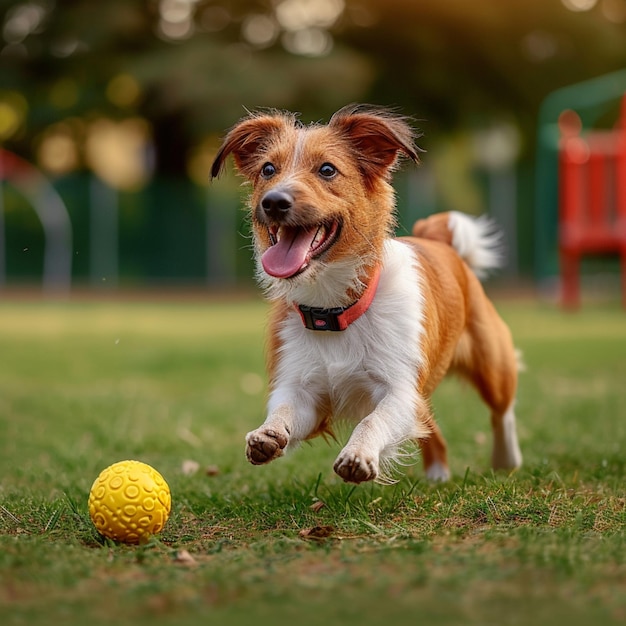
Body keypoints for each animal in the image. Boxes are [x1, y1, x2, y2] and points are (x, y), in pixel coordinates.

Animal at [211, 103, 520, 482]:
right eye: (268, 169)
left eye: (327, 169)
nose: (273, 201)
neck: (335, 310)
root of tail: (440, 242)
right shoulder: (304, 389)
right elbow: (284, 409)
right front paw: (269, 433)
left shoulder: (399, 390)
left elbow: (374, 420)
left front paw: (359, 454)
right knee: (432, 429)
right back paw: (437, 475)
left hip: (492, 365)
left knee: (502, 412)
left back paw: (506, 460)